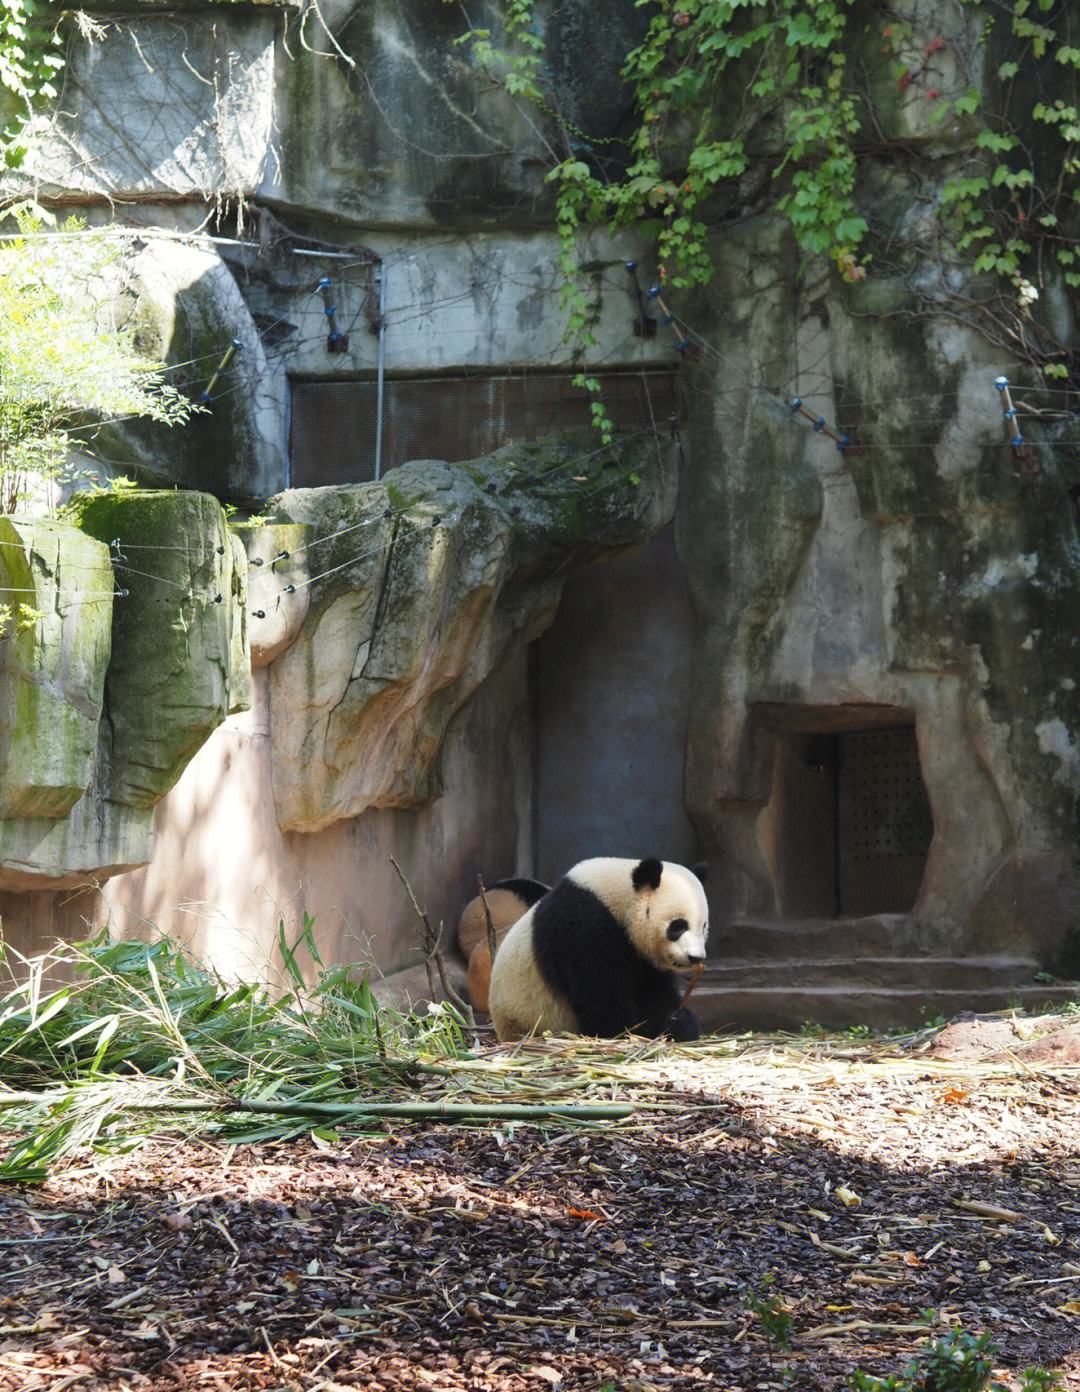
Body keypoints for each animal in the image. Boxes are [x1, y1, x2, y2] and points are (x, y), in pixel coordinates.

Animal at [489, 857, 709, 1046]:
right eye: (678, 926)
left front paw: (680, 1022)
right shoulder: (584, 929)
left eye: (704, 926)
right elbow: (602, 997)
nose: (694, 957)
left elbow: (653, 992)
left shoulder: (643, 959)